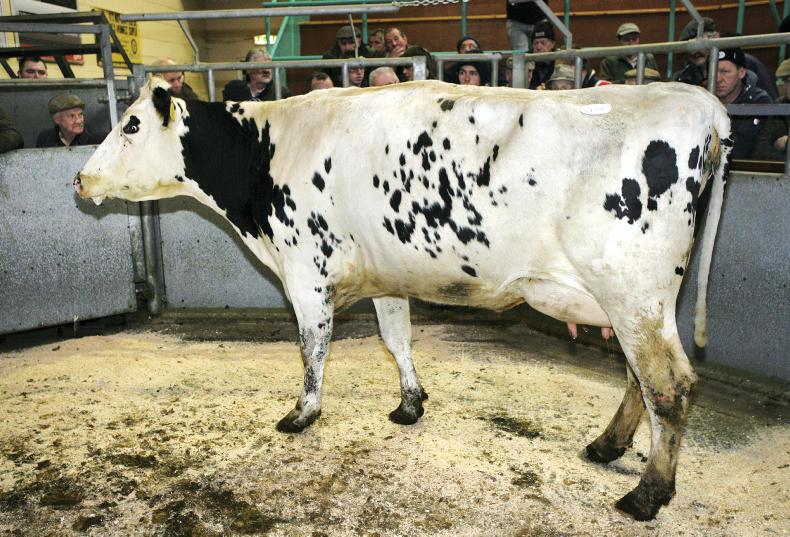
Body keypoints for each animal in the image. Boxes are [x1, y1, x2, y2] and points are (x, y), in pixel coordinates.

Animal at [74, 77, 731, 521]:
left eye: (130, 125)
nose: (79, 179)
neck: (265, 151)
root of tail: (697, 103)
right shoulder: (388, 276)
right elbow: (396, 340)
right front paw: (411, 403)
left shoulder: (304, 271)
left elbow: (312, 348)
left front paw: (302, 414)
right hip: (634, 303)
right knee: (638, 380)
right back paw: (607, 445)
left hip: (634, 292)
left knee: (668, 386)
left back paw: (647, 494)